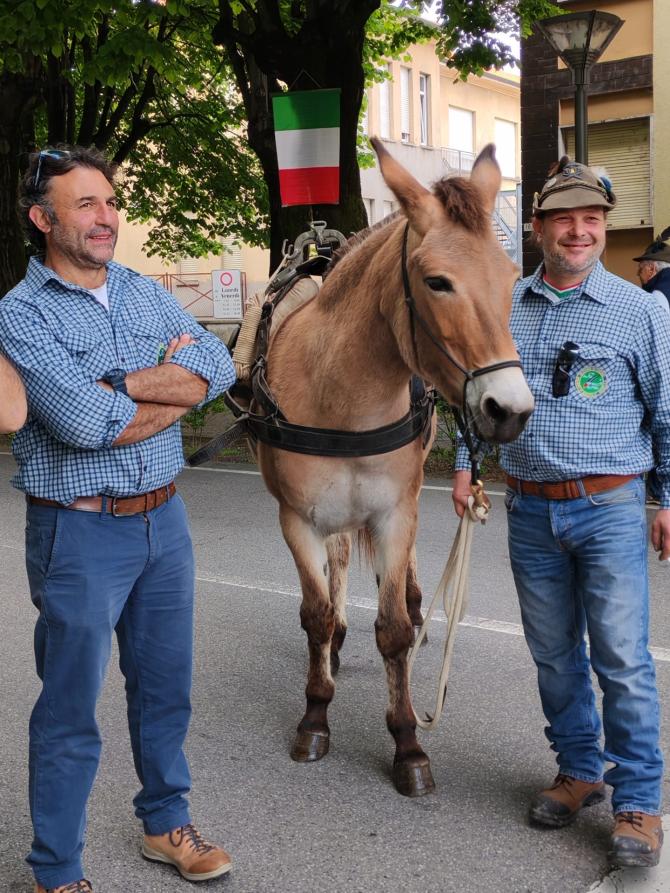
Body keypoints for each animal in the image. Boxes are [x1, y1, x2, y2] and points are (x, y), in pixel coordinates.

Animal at [255, 139, 534, 797]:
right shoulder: (297, 518)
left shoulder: (395, 513)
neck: (344, 394)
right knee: (335, 571)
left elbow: (395, 632)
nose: (508, 410)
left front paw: (408, 742)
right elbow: (315, 614)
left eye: (512, 278)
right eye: (437, 282)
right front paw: (315, 712)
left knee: (395, 586)